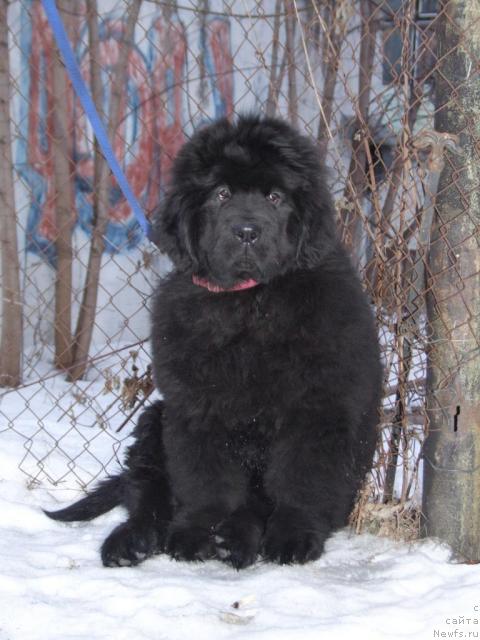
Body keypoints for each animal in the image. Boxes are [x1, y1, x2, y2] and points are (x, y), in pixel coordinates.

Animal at [46, 116, 382, 568]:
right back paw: (132, 542)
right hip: (155, 420)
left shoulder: (317, 407)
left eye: (275, 197)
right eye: (221, 194)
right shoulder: (195, 406)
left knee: (249, 504)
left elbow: (300, 478)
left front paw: (292, 535)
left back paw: (235, 539)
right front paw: (196, 533)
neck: (248, 300)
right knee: (148, 495)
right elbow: (206, 477)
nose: (247, 231)